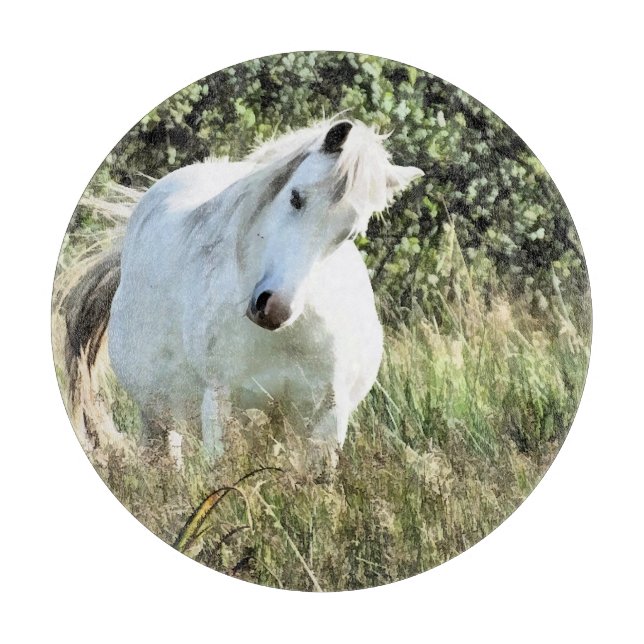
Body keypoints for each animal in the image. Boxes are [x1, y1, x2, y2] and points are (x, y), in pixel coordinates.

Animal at [63, 119, 423, 464]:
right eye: (296, 197)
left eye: (350, 232)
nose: (274, 308)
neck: (290, 336)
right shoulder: (220, 406)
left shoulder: (327, 420)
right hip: (157, 417)